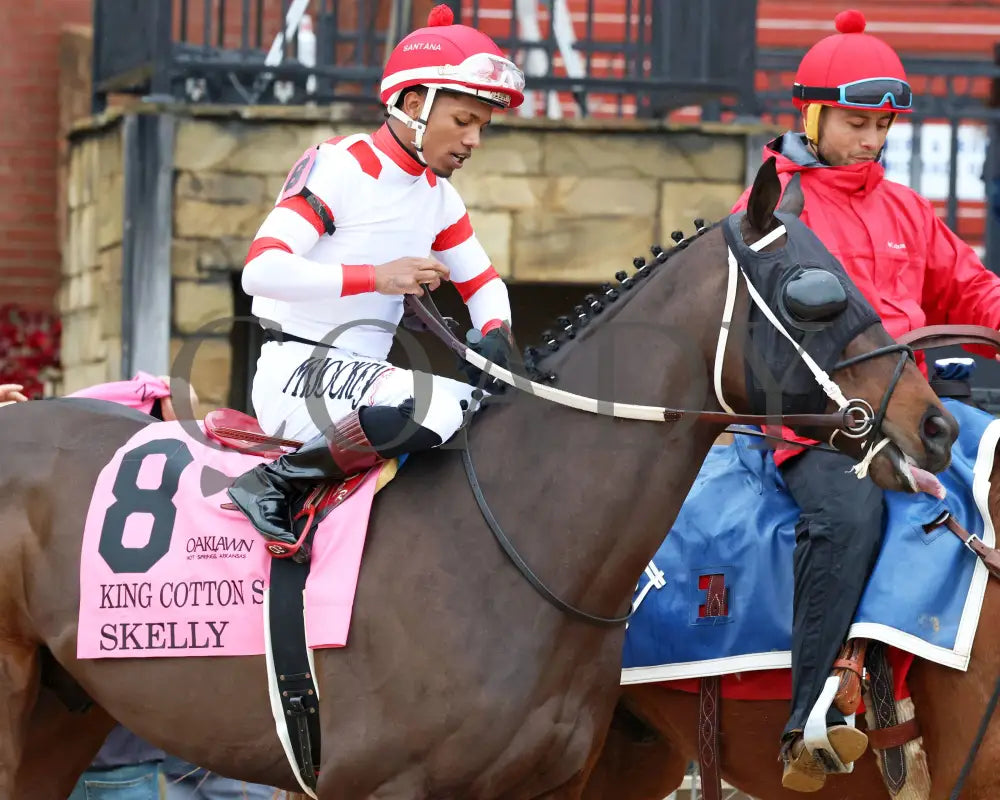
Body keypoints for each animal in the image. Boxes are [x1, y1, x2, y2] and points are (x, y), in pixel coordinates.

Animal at [0, 159, 952, 796]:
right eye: (812, 294)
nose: (934, 425)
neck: (514, 550)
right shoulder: (385, 786)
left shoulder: (555, 781)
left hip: (63, 713)